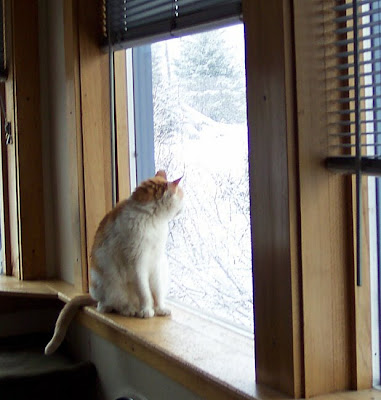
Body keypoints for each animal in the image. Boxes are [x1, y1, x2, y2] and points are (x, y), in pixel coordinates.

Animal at [45, 170, 183, 354]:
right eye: (181, 196)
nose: (182, 208)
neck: (152, 220)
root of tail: (93, 294)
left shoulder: (156, 262)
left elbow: (156, 290)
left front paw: (159, 308)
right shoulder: (137, 264)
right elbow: (145, 291)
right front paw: (147, 310)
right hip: (111, 283)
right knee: (106, 306)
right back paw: (130, 310)